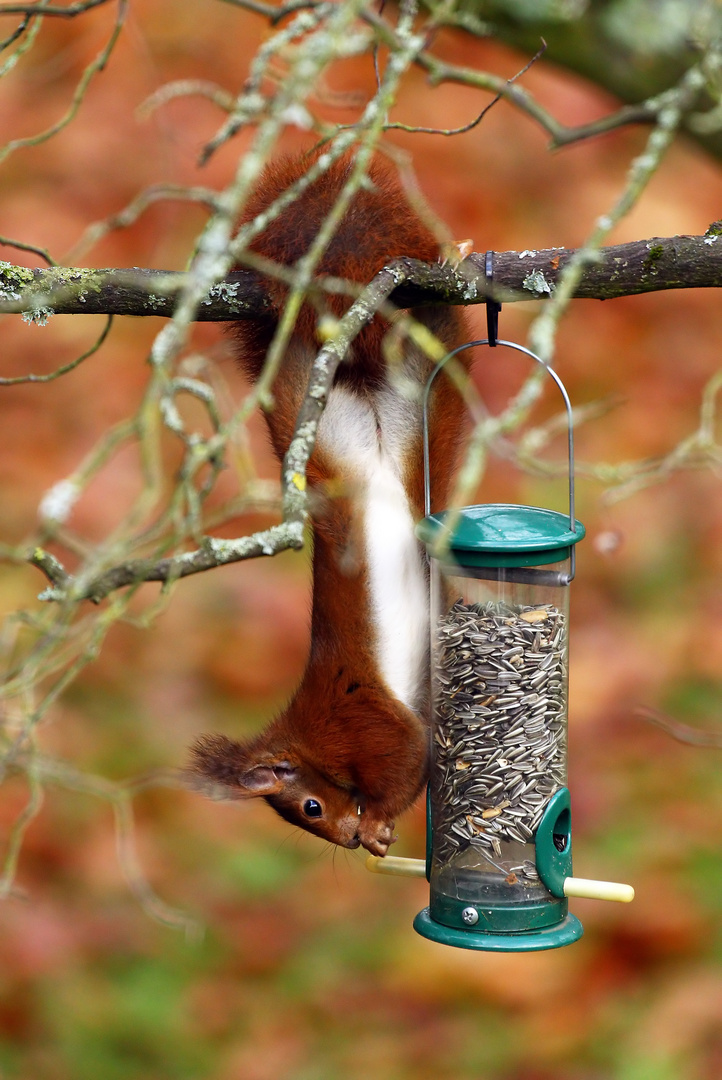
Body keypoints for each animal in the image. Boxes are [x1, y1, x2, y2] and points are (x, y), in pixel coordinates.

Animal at [188, 156, 468, 855]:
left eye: (309, 807)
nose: (340, 837)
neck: (309, 736)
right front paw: (373, 830)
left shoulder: (360, 718)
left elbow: (406, 757)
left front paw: (376, 825)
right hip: (344, 395)